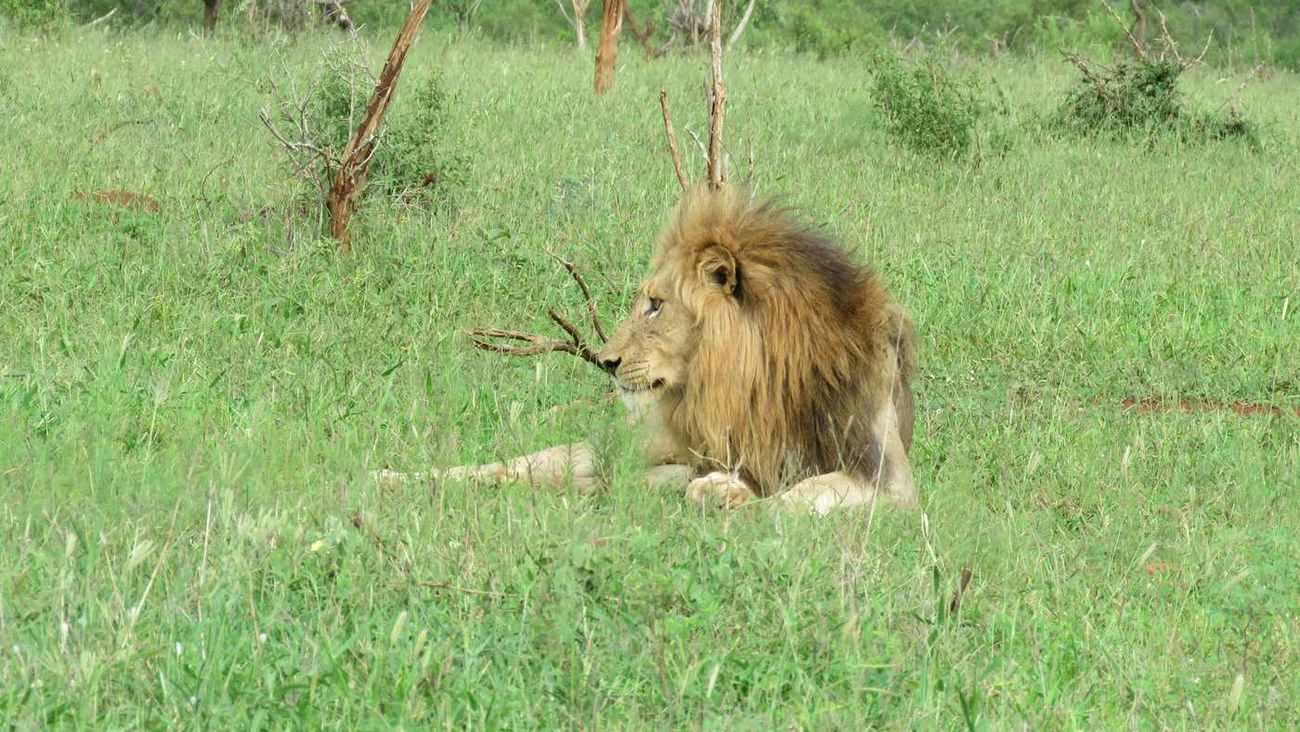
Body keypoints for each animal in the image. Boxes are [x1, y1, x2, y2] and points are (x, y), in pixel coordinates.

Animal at [375, 185, 918, 514]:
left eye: (656, 305)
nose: (607, 361)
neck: (753, 384)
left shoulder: (889, 480)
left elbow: (798, 496)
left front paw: (733, 499)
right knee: (527, 465)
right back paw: (392, 477)